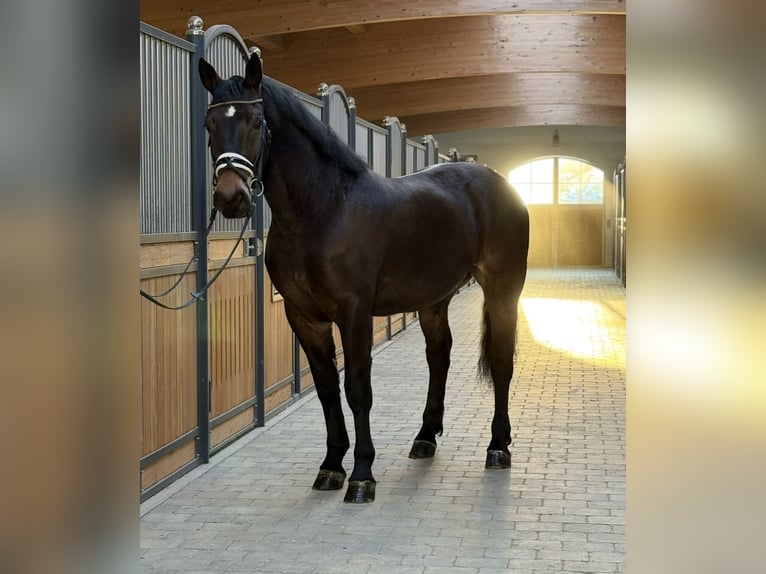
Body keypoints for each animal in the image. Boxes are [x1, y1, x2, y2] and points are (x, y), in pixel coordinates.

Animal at [198, 53, 529, 503]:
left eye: (255, 121)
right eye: (209, 124)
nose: (231, 198)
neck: (324, 210)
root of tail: (501, 184)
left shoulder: (354, 313)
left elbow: (357, 388)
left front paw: (361, 475)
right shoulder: (304, 317)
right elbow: (326, 389)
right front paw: (330, 467)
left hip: (503, 288)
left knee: (500, 361)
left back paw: (498, 447)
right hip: (434, 297)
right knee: (439, 355)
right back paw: (425, 437)